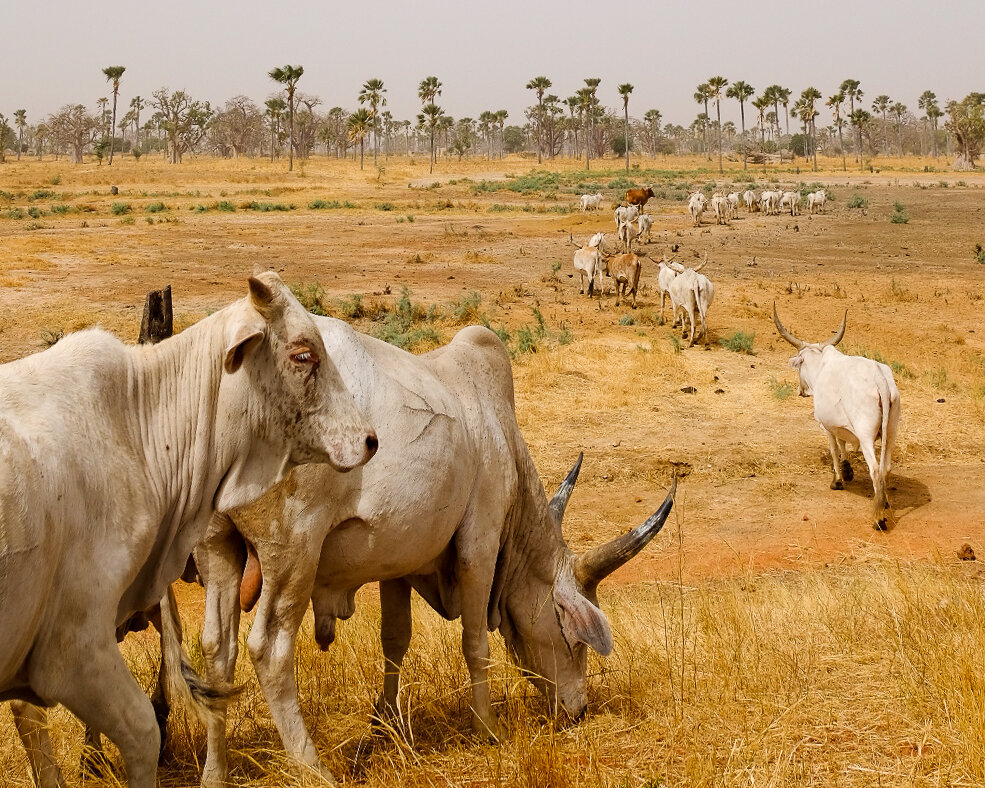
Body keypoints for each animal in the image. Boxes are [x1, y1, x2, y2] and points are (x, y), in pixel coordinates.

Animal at [772, 304, 904, 532]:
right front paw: (847, 469)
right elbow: (843, 444)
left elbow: (834, 448)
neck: (821, 367)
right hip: (892, 430)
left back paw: (878, 518)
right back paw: (885, 502)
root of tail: (879, 378)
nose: (801, 391)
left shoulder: (825, 425)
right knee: (885, 467)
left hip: (865, 434)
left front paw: (838, 480)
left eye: (799, 365)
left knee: (875, 469)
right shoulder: (840, 424)